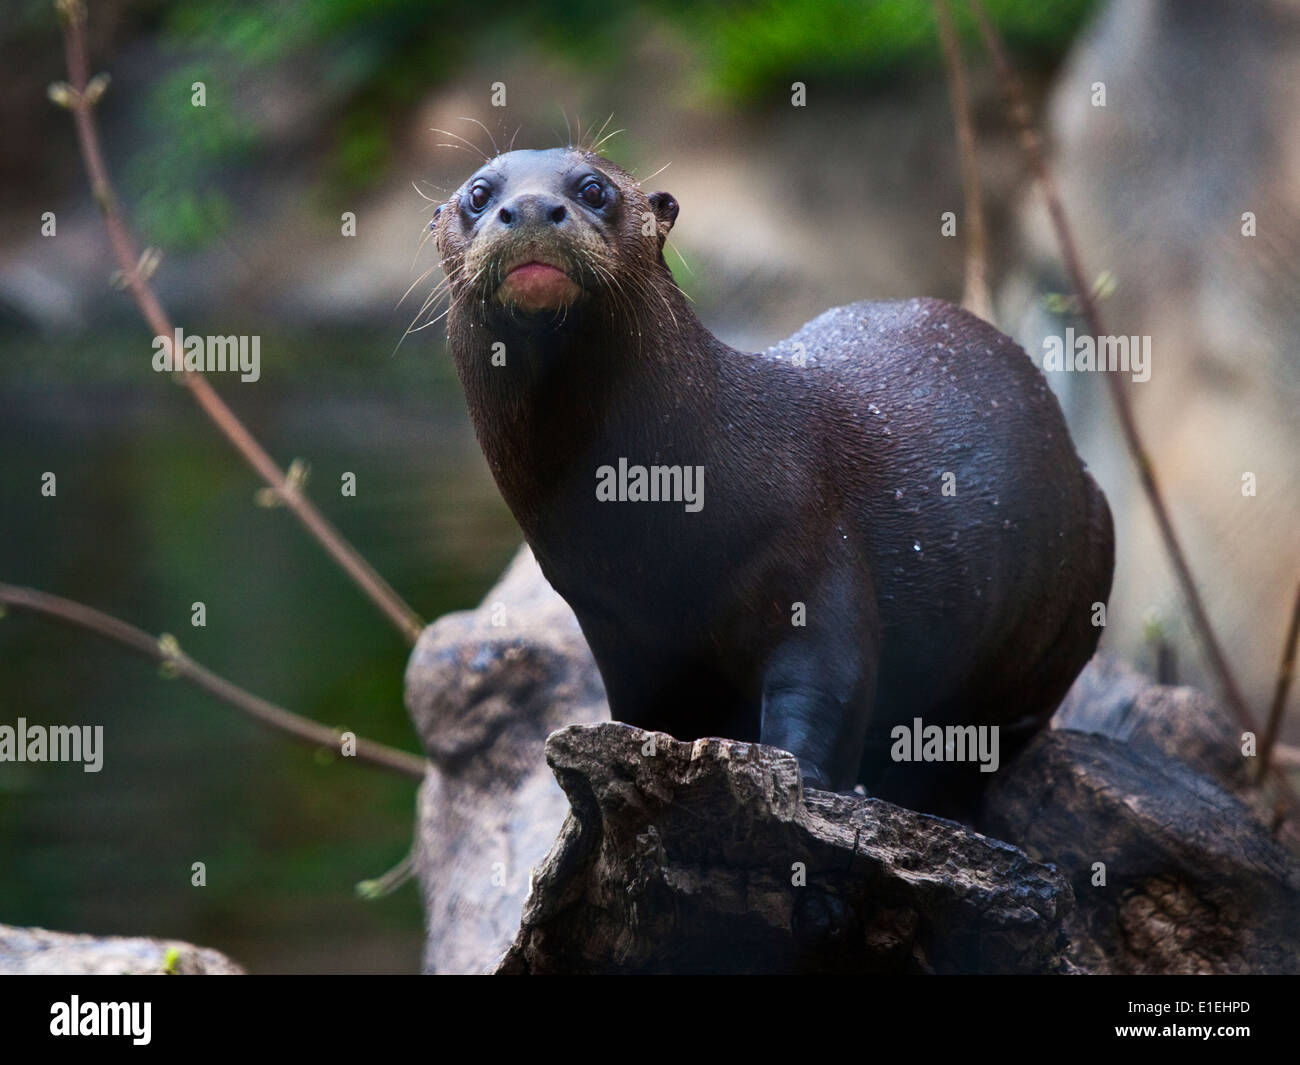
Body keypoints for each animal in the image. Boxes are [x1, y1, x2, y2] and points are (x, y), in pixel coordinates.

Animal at [431, 150, 1112, 811]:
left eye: (593, 189)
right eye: (480, 194)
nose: (531, 207)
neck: (650, 528)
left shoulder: (814, 547)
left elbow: (825, 682)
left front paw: (798, 777)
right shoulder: (608, 617)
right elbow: (645, 709)